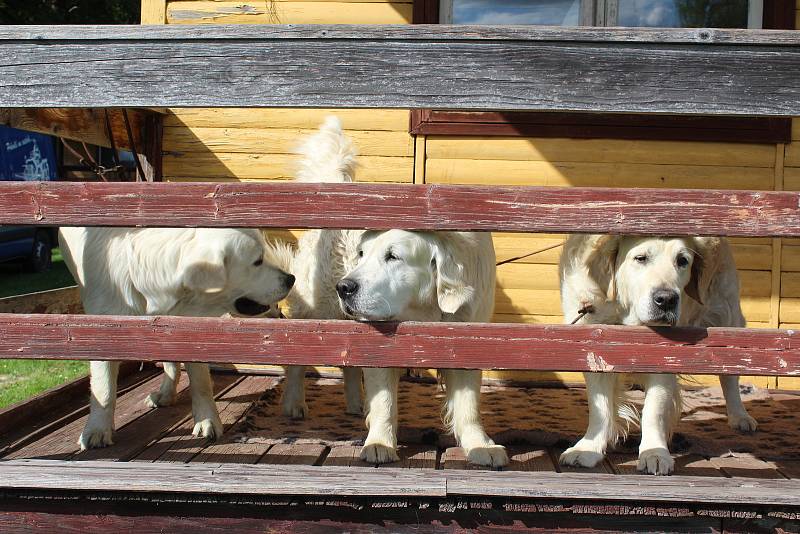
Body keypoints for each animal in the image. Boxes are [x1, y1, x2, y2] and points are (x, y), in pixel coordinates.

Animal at [61, 227, 296, 452]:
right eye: (257, 261)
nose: (290, 279)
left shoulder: (188, 325)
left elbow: (200, 381)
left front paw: (206, 420)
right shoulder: (101, 328)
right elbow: (104, 388)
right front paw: (97, 430)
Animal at [272, 118, 506, 468]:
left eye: (393, 256)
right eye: (361, 254)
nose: (345, 288)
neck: (426, 310)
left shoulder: (466, 336)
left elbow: (468, 406)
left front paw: (480, 446)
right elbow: (384, 400)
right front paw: (380, 442)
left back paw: (356, 404)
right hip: (316, 309)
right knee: (298, 359)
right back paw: (294, 403)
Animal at [560, 236, 760, 478]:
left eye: (682, 260)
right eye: (640, 258)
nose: (666, 300)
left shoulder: (664, 353)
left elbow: (654, 408)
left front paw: (654, 453)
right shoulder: (594, 344)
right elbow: (601, 406)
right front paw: (588, 449)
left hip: (727, 314)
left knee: (730, 374)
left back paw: (740, 417)